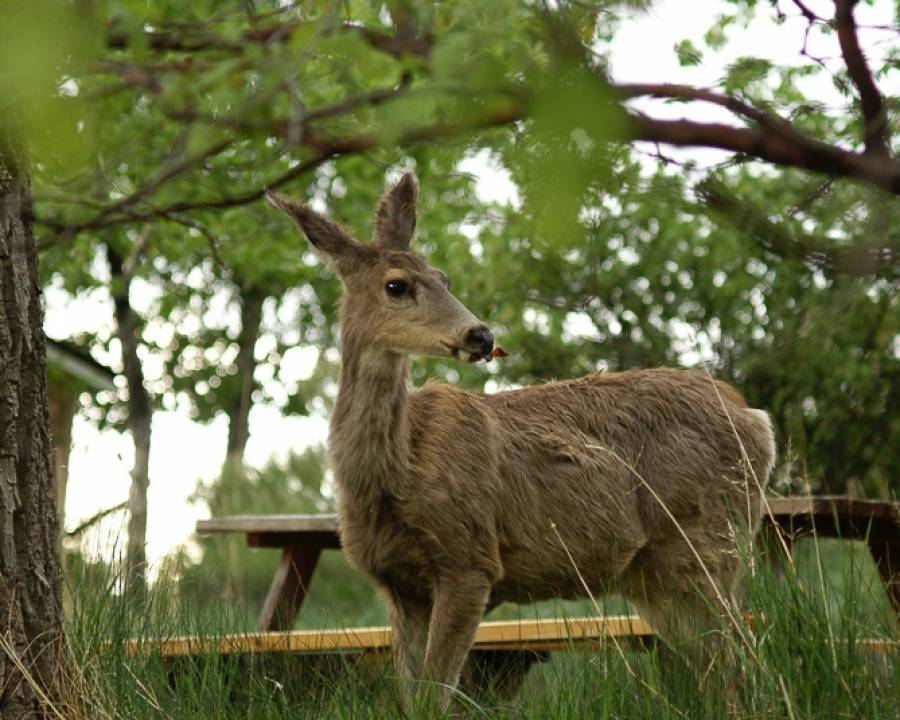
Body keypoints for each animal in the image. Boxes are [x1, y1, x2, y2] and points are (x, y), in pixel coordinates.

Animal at [266, 173, 772, 708]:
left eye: (444, 278)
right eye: (396, 285)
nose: (481, 336)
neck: (394, 476)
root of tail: (757, 418)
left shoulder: (470, 560)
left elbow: (434, 697)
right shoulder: (399, 586)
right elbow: (412, 698)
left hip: (709, 541)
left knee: (746, 661)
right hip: (655, 575)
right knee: (719, 665)